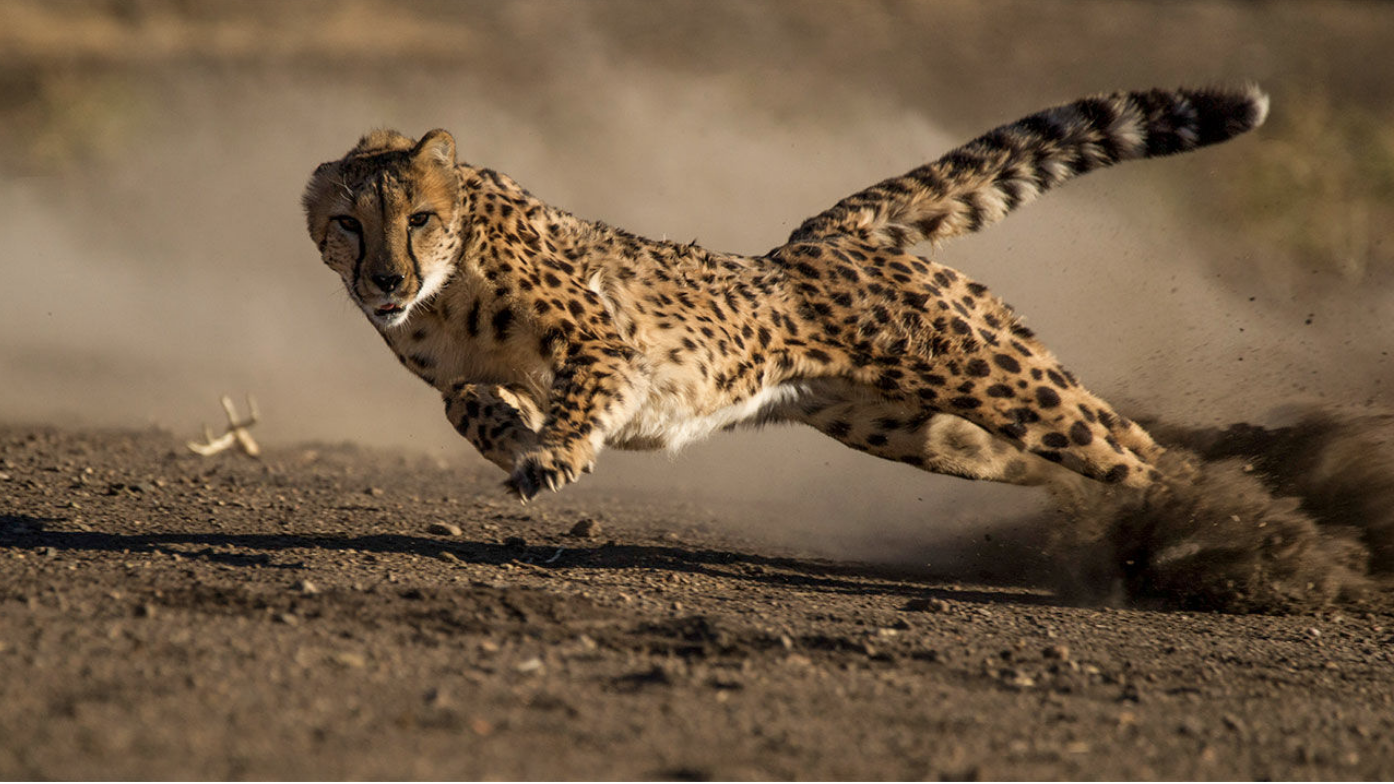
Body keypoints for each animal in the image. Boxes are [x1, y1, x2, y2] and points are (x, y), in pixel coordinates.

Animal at [302, 85, 1269, 504]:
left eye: (418, 217)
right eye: (347, 223)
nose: (385, 279)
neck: (445, 289)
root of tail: (824, 236)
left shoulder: (607, 345)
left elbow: (576, 397)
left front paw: (552, 454)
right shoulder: (468, 368)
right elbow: (463, 401)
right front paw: (510, 436)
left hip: (992, 376)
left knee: (1131, 448)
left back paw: (1229, 520)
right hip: (915, 429)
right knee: (1080, 455)